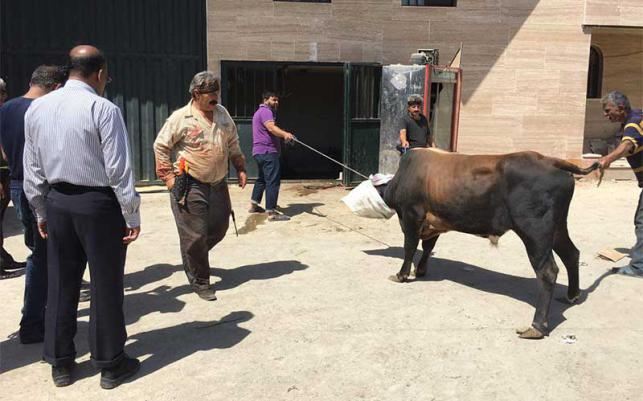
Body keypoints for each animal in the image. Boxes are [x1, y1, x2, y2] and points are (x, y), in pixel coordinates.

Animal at [380, 148, 600, 340]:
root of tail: (549, 160)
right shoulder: (435, 223)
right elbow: (427, 247)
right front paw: (420, 270)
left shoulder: (411, 215)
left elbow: (410, 247)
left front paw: (401, 275)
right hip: (557, 228)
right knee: (571, 254)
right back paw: (572, 295)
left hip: (535, 232)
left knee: (548, 271)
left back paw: (536, 326)